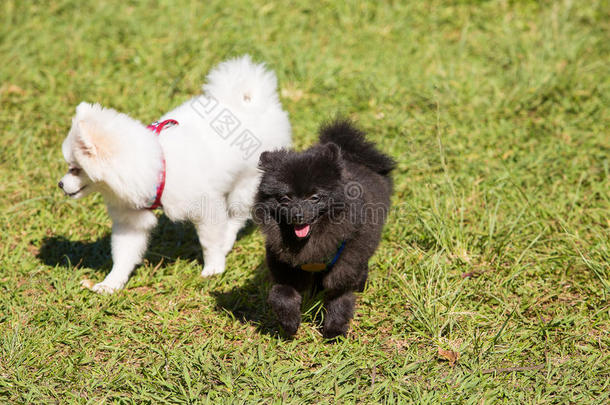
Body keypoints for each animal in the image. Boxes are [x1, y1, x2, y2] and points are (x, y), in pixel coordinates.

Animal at [58, 55, 290, 292]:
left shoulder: (206, 206)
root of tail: (253, 102)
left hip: (245, 184)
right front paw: (110, 284)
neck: (160, 167)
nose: (60, 184)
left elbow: (210, 242)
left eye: (74, 169)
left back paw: (227, 239)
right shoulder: (131, 220)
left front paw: (213, 268)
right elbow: (123, 256)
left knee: (237, 216)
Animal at [252, 117, 394, 338]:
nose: (298, 214)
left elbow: (339, 295)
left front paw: (334, 330)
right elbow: (282, 293)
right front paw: (290, 323)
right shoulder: (283, 262)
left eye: (314, 197)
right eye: (285, 198)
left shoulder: (346, 263)